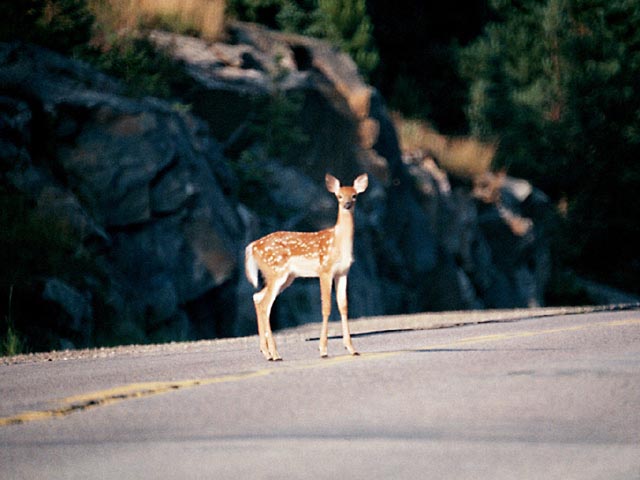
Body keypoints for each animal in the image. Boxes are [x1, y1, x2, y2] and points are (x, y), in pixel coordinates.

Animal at [244, 172, 368, 360]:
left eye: (354, 195)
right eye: (339, 196)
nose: (346, 205)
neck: (338, 242)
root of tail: (252, 246)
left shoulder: (343, 272)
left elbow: (343, 306)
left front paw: (352, 348)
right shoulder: (325, 269)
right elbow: (326, 307)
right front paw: (323, 350)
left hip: (284, 277)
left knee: (258, 297)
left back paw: (266, 352)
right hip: (276, 271)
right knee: (265, 304)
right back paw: (275, 353)